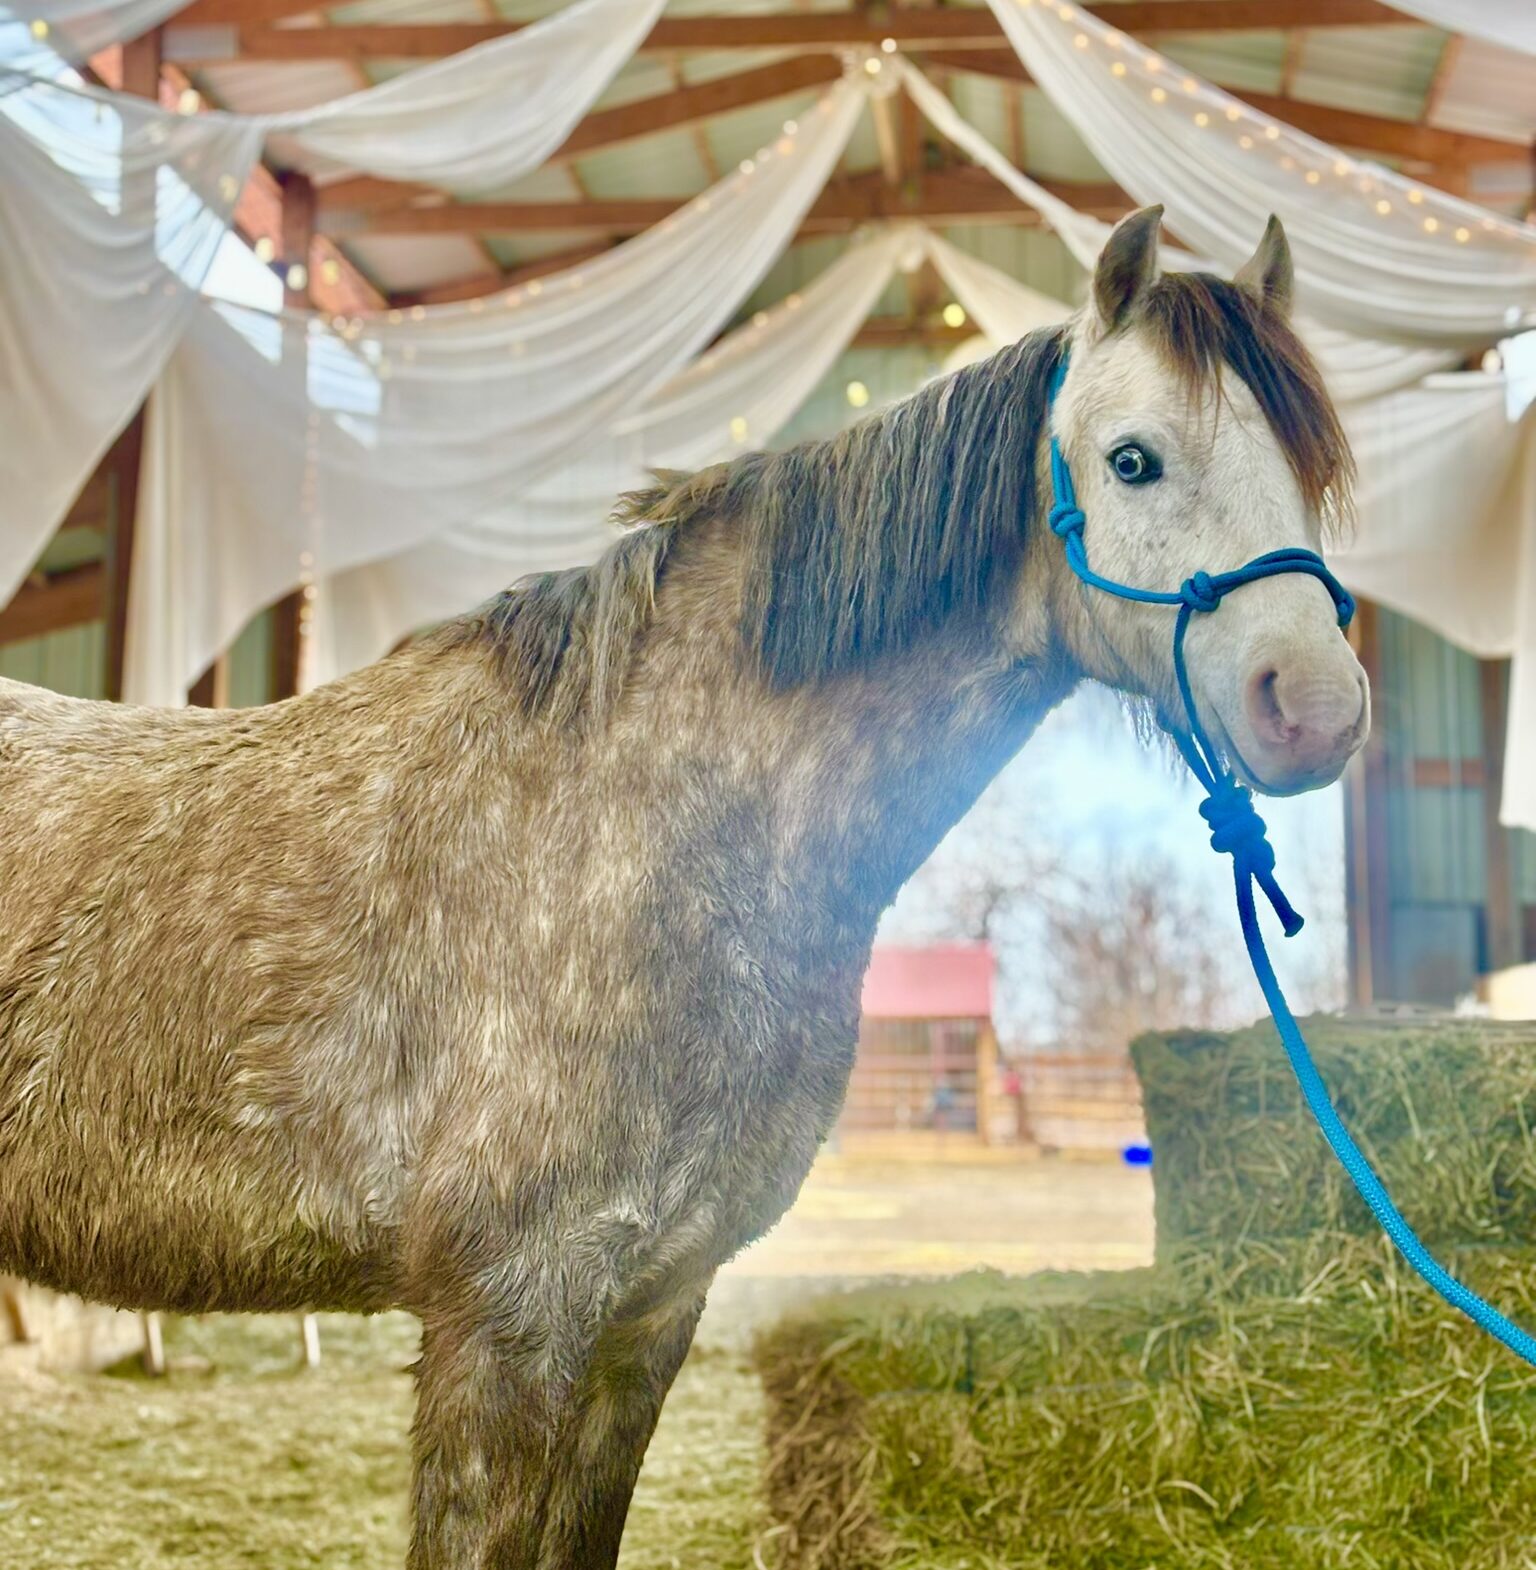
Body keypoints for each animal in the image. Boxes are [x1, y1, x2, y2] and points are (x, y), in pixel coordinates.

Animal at [0, 207, 1367, 1568]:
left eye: (1314, 474)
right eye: (1133, 461)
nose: (1317, 707)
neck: (642, 824)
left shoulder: (649, 1311)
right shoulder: (505, 1320)